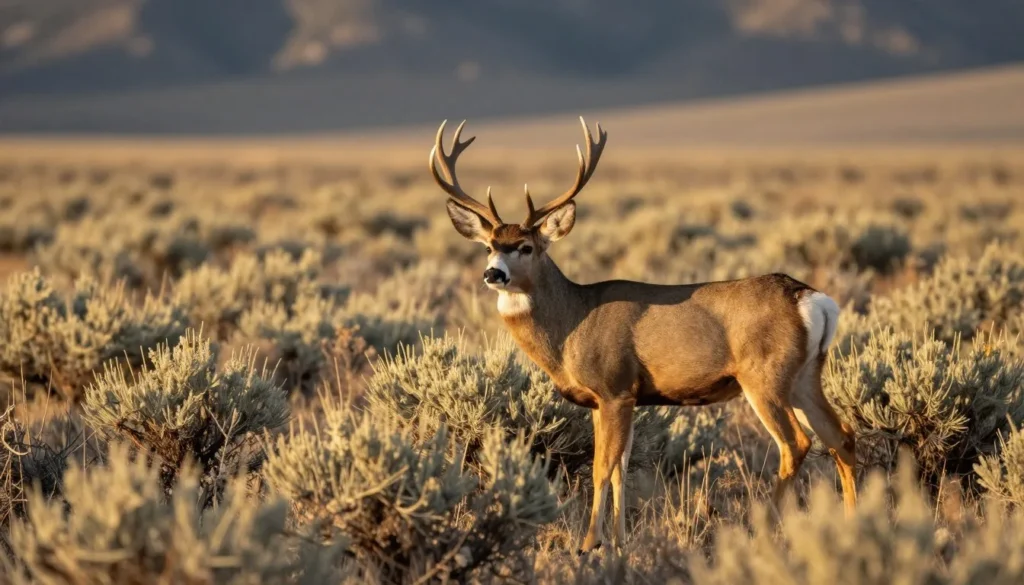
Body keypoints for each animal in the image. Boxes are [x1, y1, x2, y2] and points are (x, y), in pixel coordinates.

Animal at [427, 116, 858, 554]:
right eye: (488, 247)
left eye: (526, 247)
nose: (493, 274)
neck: (572, 326)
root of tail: (812, 299)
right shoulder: (613, 399)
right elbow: (620, 467)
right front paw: (619, 541)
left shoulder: (614, 386)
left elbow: (601, 468)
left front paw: (588, 544)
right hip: (805, 376)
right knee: (842, 437)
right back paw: (852, 523)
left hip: (764, 375)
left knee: (796, 444)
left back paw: (763, 531)